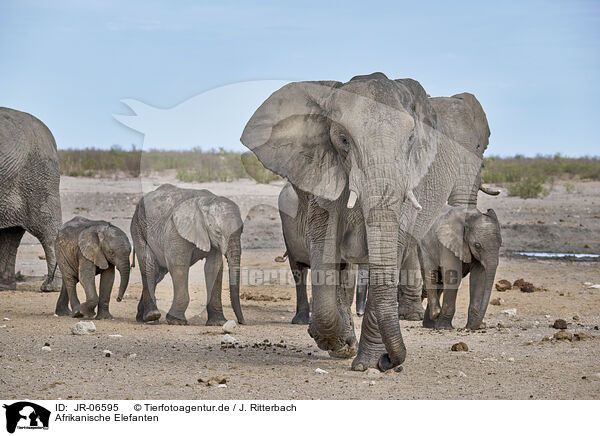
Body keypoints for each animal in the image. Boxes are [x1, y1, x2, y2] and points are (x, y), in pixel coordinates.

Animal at [131, 182, 244, 326]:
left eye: (242, 231)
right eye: (218, 232)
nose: (241, 322)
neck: (206, 202)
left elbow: (213, 268)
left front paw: (218, 323)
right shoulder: (175, 230)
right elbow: (178, 265)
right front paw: (176, 321)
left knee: (158, 274)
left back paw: (142, 318)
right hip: (138, 227)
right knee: (149, 266)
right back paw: (152, 316)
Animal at [241, 73, 494, 372]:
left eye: (411, 139)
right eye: (343, 139)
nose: (389, 362)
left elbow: (391, 250)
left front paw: (367, 362)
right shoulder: (323, 170)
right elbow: (324, 244)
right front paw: (339, 345)